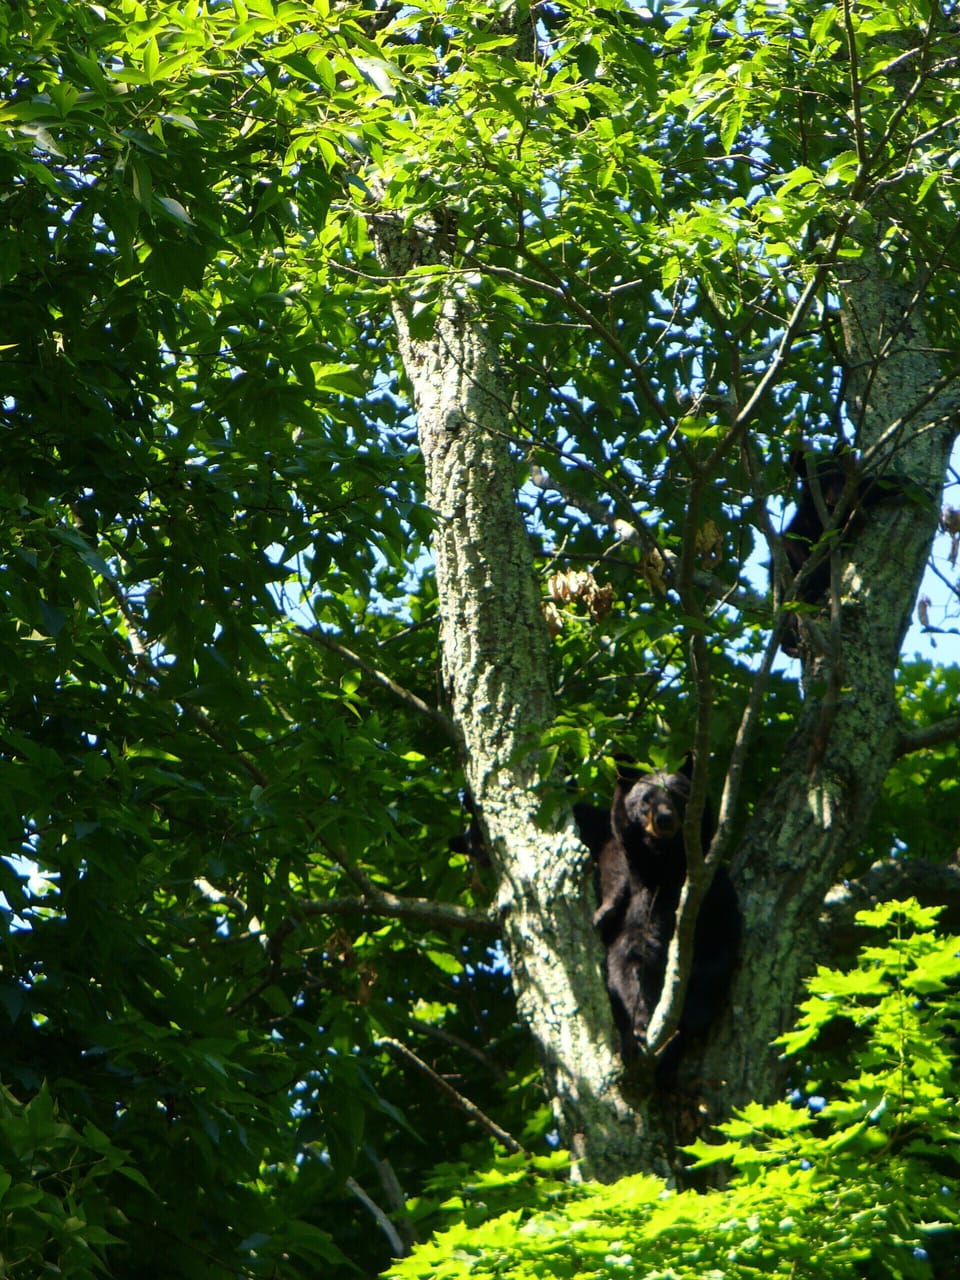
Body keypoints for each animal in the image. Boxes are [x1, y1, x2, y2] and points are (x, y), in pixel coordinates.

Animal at [574, 757, 740, 1078]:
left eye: (679, 794)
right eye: (645, 799)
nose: (664, 819)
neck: (665, 866)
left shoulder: (716, 893)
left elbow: (716, 952)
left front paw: (689, 1018)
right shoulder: (640, 900)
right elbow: (628, 963)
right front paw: (638, 1027)